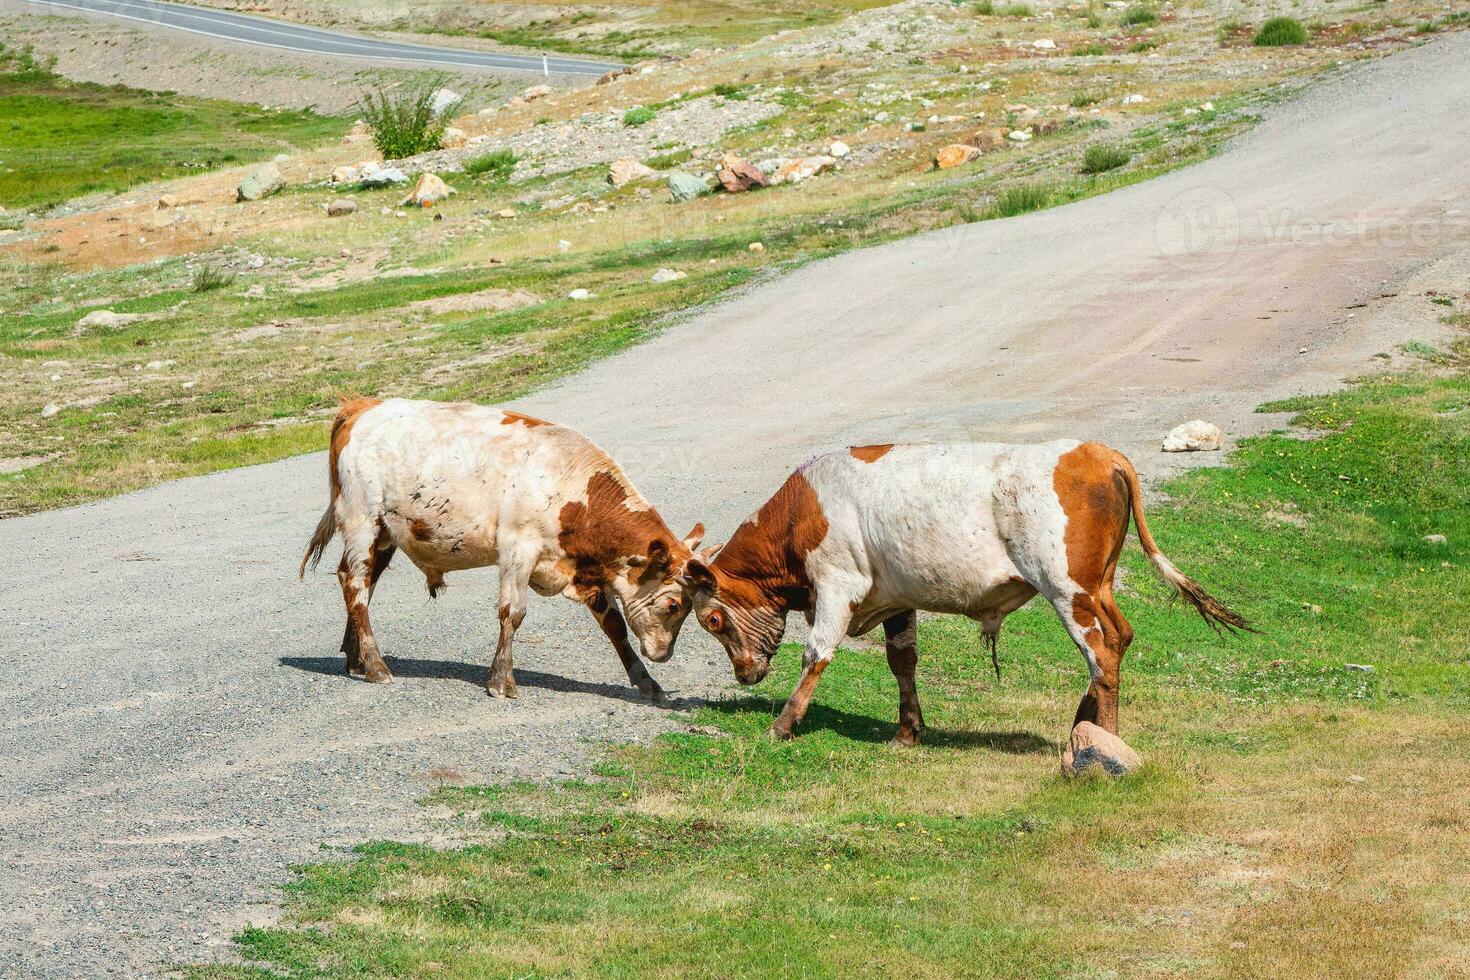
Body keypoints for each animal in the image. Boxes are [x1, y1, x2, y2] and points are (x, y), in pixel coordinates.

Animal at [296, 393, 699, 702]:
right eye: (673, 604)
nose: (664, 654)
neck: (570, 485)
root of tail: (363, 406)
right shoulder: (519, 549)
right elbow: (512, 613)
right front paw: (501, 680)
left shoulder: (586, 567)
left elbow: (614, 625)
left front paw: (647, 682)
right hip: (362, 521)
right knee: (355, 584)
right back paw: (376, 666)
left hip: (385, 534)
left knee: (361, 583)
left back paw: (356, 658)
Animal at [682, 443, 1246, 743]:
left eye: (711, 620)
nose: (744, 674)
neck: (800, 512)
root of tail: (1093, 451)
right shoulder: (897, 595)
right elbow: (903, 662)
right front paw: (908, 732)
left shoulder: (839, 584)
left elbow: (816, 655)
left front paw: (783, 724)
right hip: (1098, 586)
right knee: (1121, 638)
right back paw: (1083, 723)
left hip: (1068, 590)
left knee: (1101, 652)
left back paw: (1103, 740)